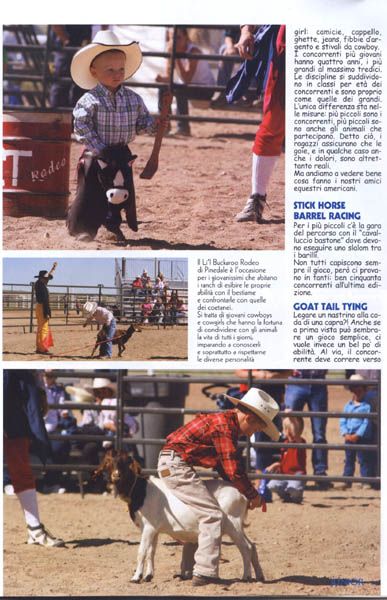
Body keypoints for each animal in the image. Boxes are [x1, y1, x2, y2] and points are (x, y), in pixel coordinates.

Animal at [94, 452, 264, 584]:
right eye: (109, 463)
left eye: (126, 463)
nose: (116, 476)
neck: (140, 491)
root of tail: (242, 496)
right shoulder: (154, 530)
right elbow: (151, 552)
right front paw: (148, 576)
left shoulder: (148, 527)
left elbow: (142, 551)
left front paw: (136, 577)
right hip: (237, 526)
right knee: (252, 545)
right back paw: (259, 576)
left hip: (233, 524)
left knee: (246, 548)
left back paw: (246, 576)